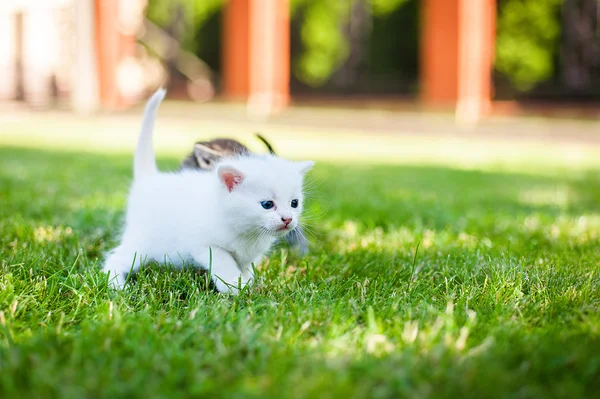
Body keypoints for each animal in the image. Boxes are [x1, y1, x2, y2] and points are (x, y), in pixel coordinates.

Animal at [102, 90, 314, 294]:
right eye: (267, 204)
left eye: (294, 203)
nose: (288, 219)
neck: (245, 230)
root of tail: (150, 179)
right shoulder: (205, 245)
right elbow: (224, 263)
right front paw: (234, 287)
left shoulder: (248, 257)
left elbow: (247, 268)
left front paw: (248, 282)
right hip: (143, 243)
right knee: (114, 258)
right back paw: (117, 285)